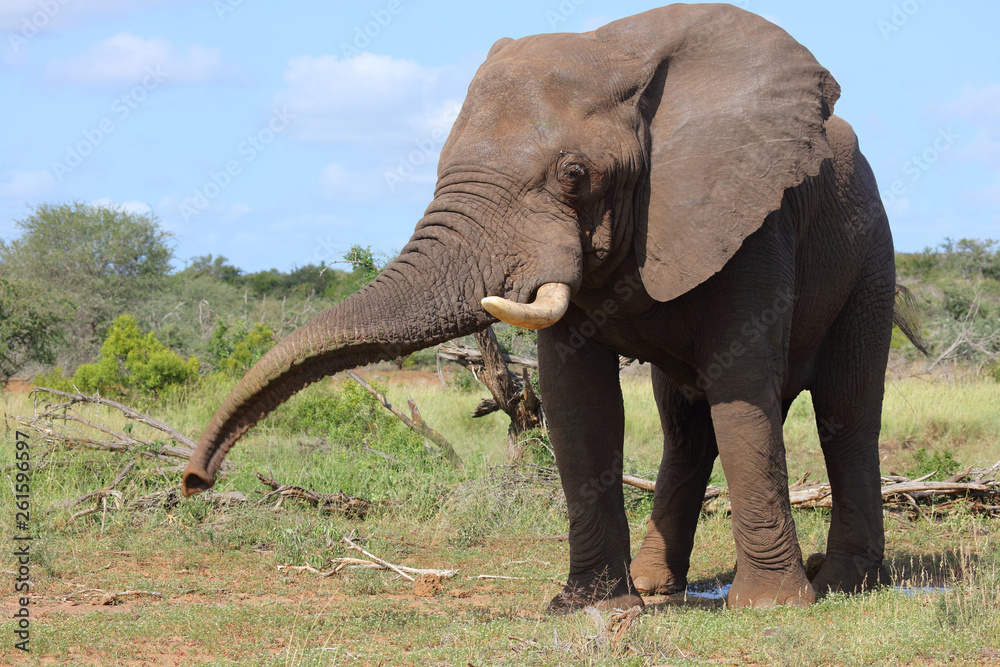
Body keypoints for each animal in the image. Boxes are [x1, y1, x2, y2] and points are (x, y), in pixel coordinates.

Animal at [182, 4, 924, 611]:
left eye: (574, 175)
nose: (195, 478)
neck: (623, 56)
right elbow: (579, 400)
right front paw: (588, 605)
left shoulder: (754, 218)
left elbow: (742, 390)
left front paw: (771, 608)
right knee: (685, 422)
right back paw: (658, 587)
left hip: (871, 256)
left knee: (845, 411)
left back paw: (844, 584)